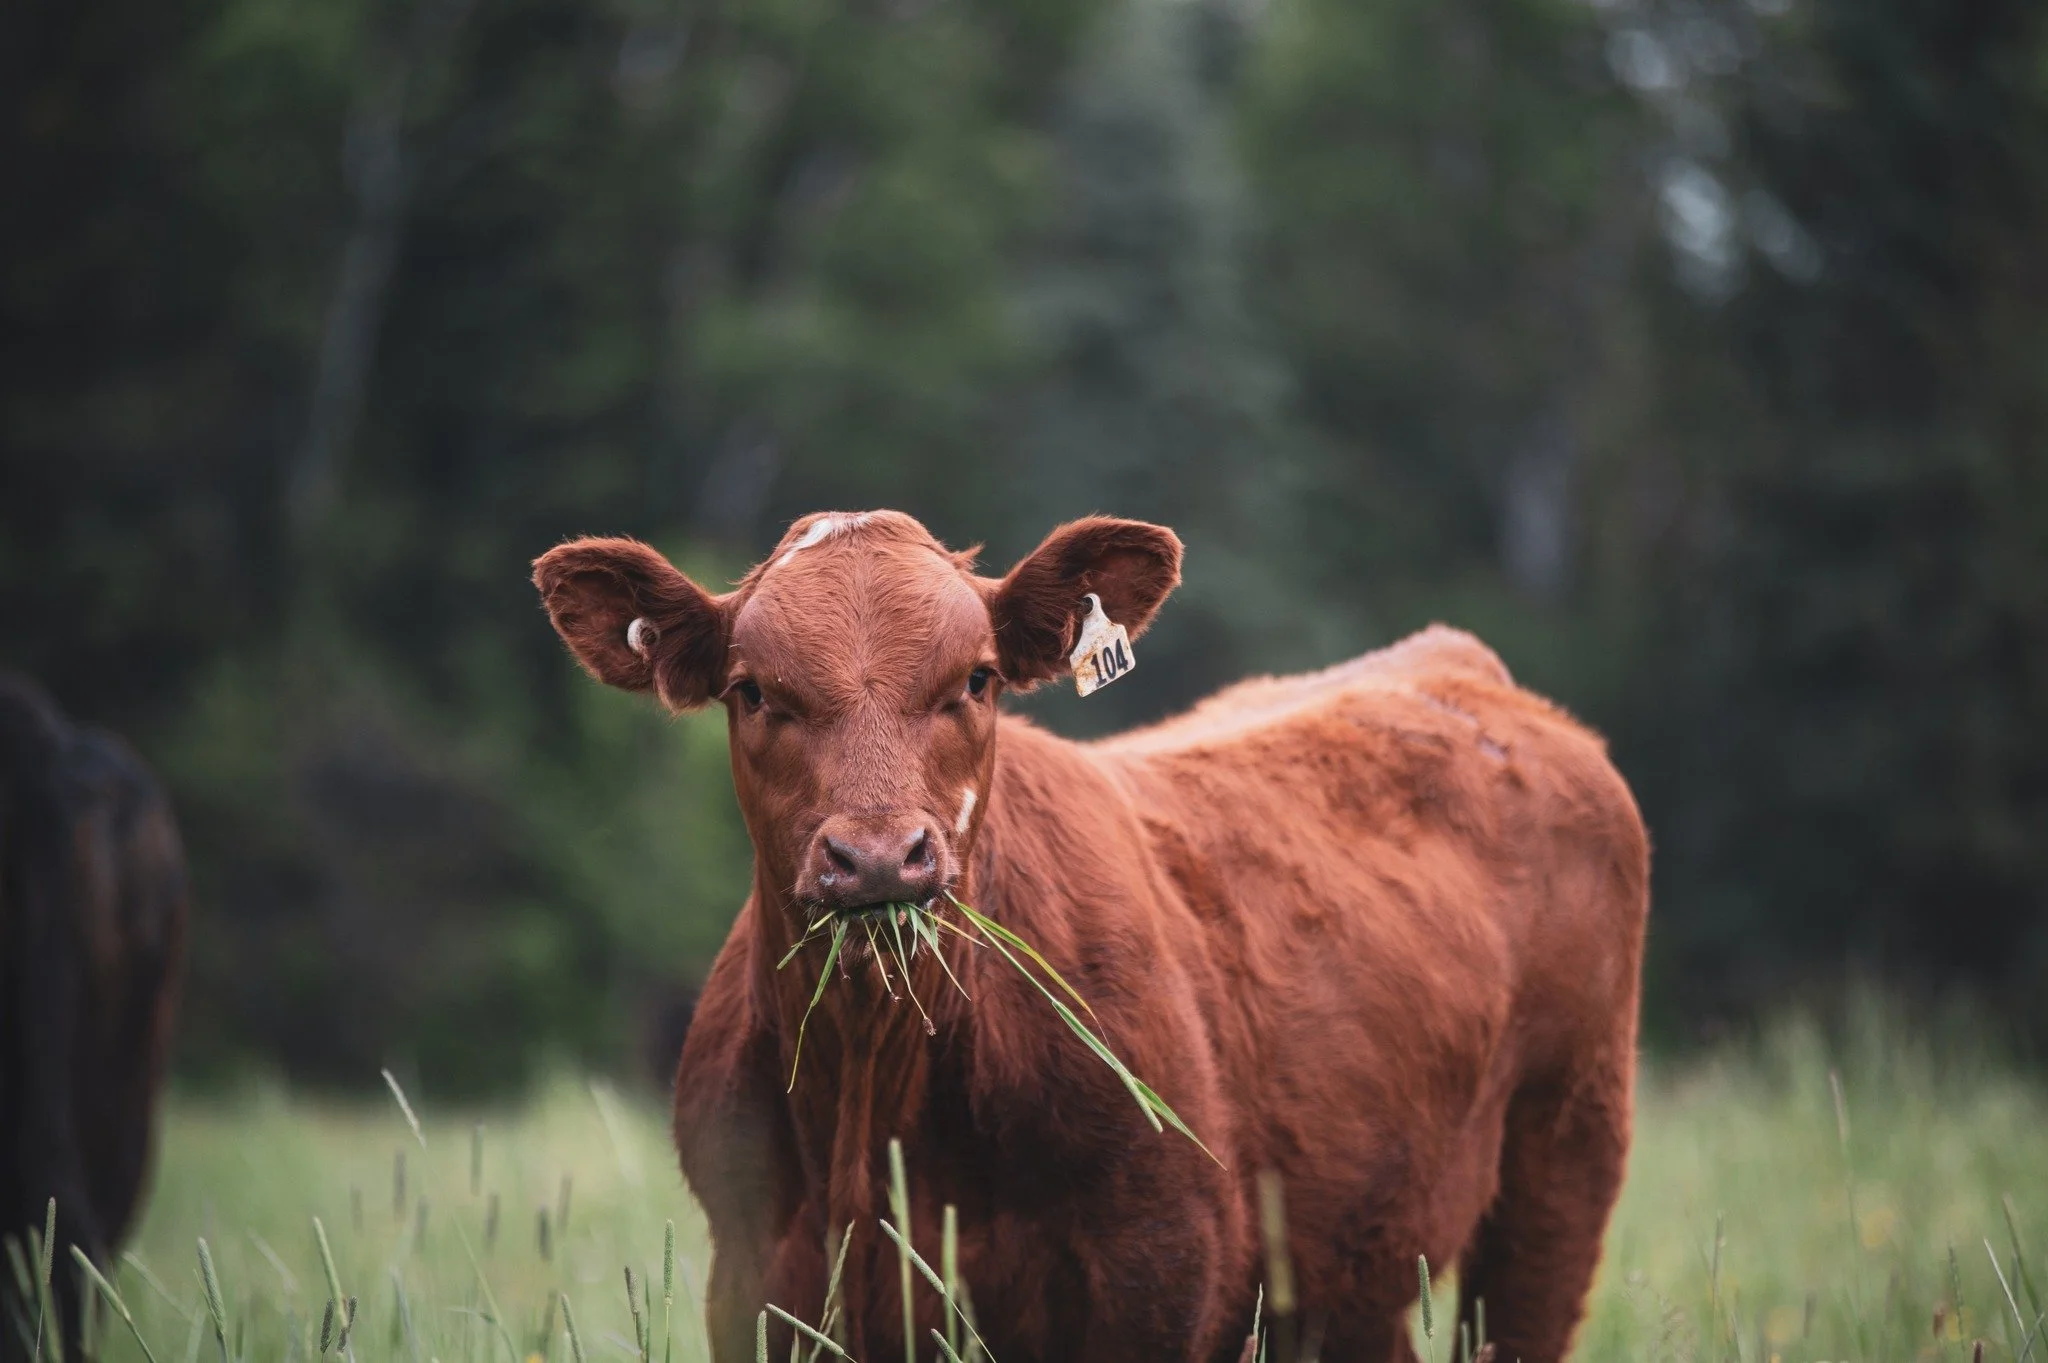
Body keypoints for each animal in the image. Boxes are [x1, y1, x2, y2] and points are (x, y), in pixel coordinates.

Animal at [533, 511, 1649, 1363]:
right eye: (753, 690)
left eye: (976, 679)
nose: (881, 858)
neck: (872, 1117)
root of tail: (1456, 666)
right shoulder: (757, 1282)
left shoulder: (1157, 1274)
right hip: (1355, 1264)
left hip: (1562, 1155)